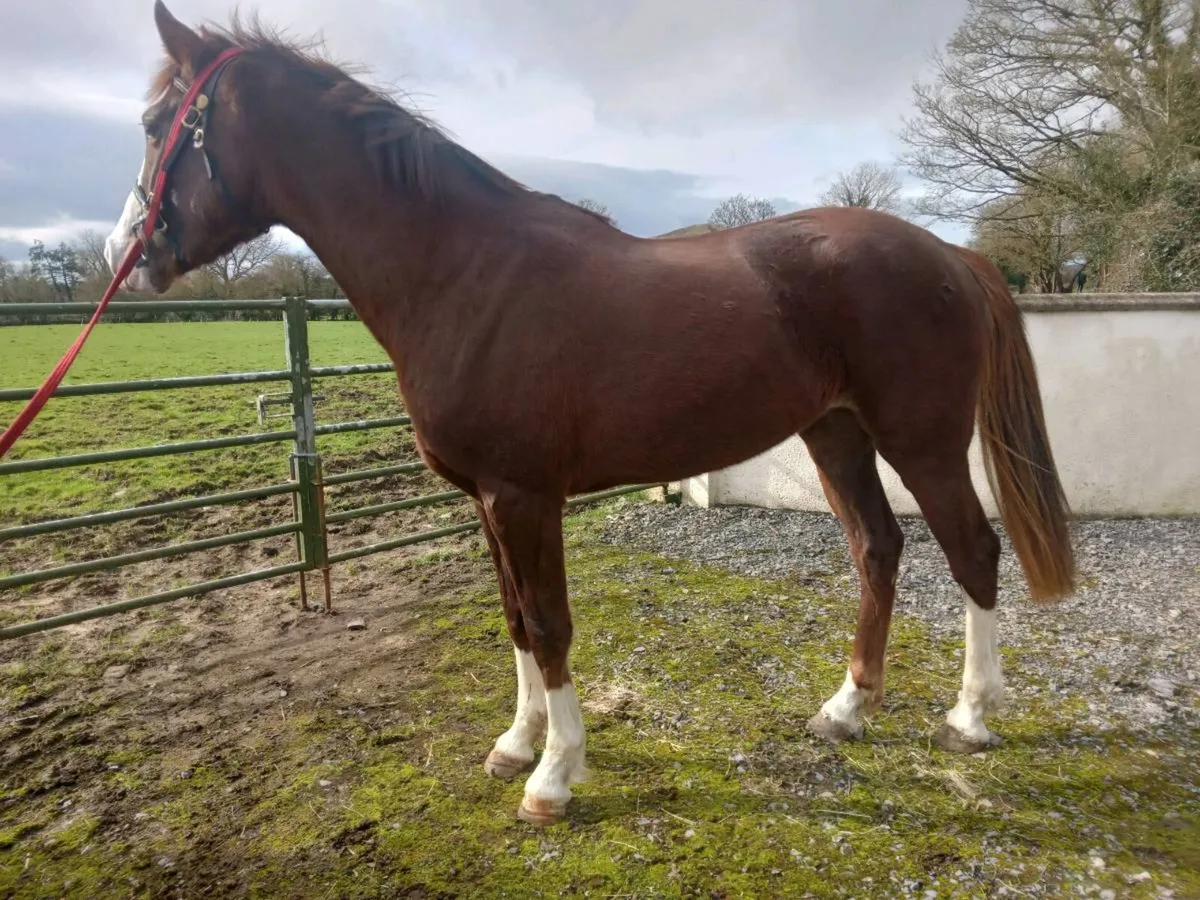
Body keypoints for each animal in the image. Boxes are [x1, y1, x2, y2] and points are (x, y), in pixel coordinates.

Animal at [105, 1, 1076, 826]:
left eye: (156, 127)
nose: (125, 252)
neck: (462, 274)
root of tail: (948, 253)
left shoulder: (524, 497)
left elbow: (548, 624)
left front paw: (554, 775)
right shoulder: (488, 502)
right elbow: (513, 618)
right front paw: (516, 742)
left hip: (922, 440)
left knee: (972, 551)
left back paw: (970, 718)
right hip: (835, 433)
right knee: (877, 548)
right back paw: (846, 709)